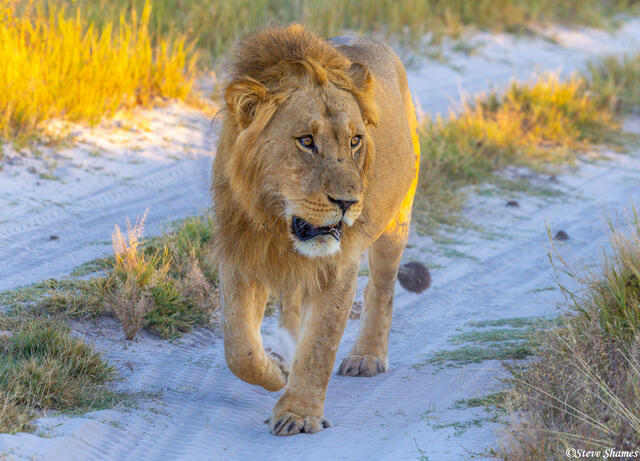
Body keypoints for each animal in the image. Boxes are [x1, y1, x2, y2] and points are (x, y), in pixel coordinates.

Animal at [211, 25, 429, 436]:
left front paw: (298, 415)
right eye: (306, 142)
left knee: (381, 288)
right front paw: (277, 370)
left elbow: (320, 346)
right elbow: (239, 348)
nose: (348, 203)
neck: (278, 223)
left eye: (355, 140)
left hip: (397, 222)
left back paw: (366, 357)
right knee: (292, 301)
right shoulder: (241, 252)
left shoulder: (337, 266)